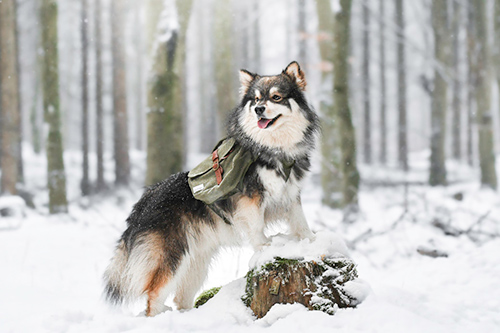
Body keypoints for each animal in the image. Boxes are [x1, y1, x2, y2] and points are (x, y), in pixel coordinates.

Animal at [103, 61, 318, 316]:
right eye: (256, 99)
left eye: (276, 97)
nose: (259, 109)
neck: (273, 150)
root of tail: (144, 199)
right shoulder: (251, 200)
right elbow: (256, 228)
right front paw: (265, 248)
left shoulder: (291, 195)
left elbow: (300, 222)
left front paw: (312, 241)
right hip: (171, 256)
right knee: (154, 295)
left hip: (196, 262)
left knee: (181, 298)